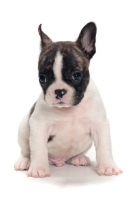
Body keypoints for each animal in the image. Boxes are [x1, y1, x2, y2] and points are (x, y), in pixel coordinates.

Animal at [14, 22, 122, 178]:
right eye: (42, 78)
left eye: (76, 75)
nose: (59, 91)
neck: (70, 110)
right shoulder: (39, 126)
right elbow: (39, 149)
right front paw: (39, 168)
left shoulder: (99, 125)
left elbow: (104, 147)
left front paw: (108, 166)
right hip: (23, 130)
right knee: (27, 151)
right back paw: (25, 161)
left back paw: (78, 158)